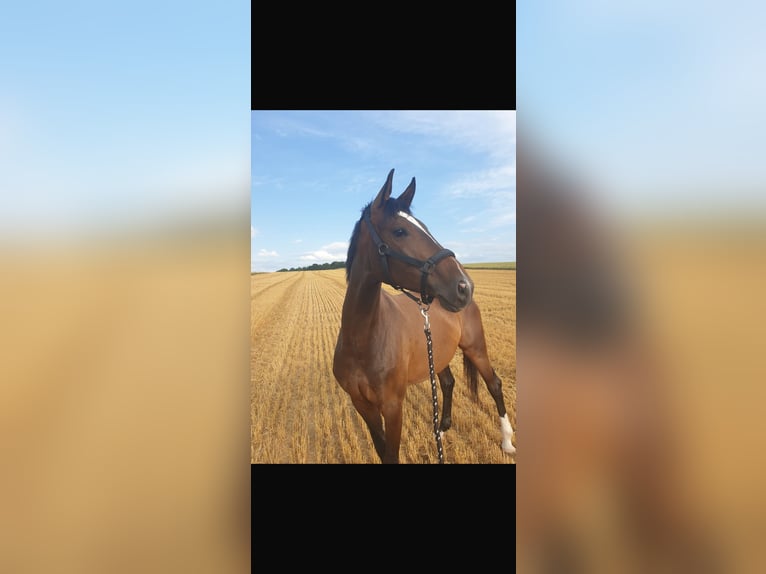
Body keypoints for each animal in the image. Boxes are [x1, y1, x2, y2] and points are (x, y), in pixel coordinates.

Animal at [332, 168, 515, 464]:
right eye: (399, 231)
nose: (464, 286)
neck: (362, 339)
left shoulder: (393, 406)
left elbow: (392, 454)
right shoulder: (362, 405)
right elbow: (382, 452)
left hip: (475, 347)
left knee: (494, 384)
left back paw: (507, 441)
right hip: (439, 354)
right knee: (449, 383)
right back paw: (441, 430)